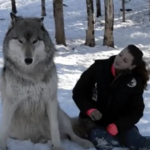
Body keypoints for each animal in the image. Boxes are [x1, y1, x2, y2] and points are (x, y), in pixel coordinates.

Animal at [0, 12, 93, 150]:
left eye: (35, 41)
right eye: (20, 41)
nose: (28, 60)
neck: (31, 74)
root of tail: (37, 138)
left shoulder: (50, 100)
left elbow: (55, 129)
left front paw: (58, 147)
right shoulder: (10, 103)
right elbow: (4, 130)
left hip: (61, 116)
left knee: (71, 134)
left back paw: (85, 143)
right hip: (16, 131)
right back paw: (46, 142)